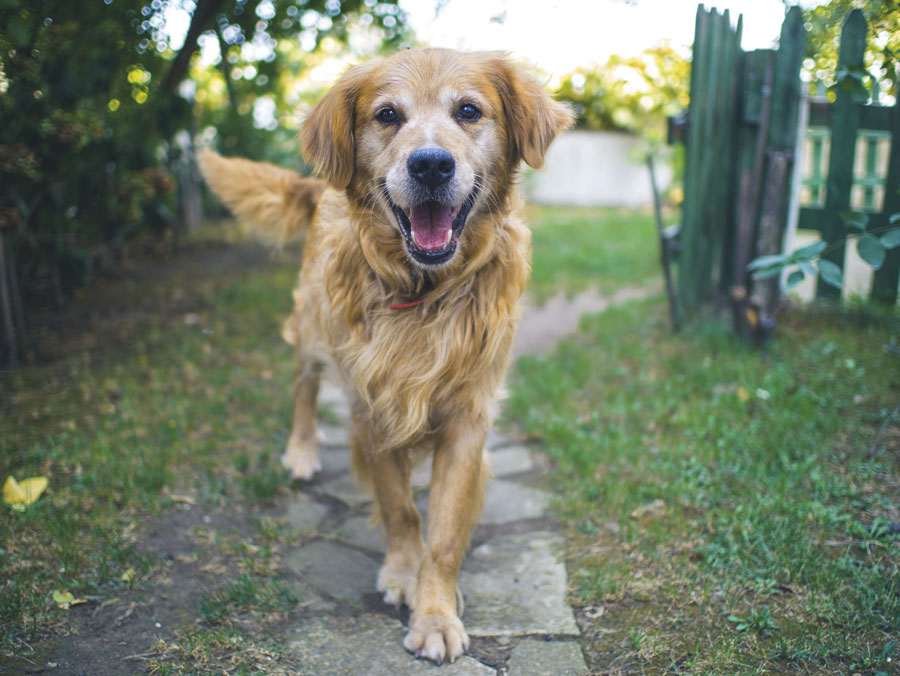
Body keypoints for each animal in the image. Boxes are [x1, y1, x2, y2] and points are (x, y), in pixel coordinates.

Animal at [201, 48, 572, 664]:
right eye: (387, 115)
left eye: (469, 111)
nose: (431, 166)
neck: (425, 290)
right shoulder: (370, 406)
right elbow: (401, 507)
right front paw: (403, 573)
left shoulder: (468, 417)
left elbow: (443, 530)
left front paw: (435, 611)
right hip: (314, 327)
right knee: (303, 383)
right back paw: (302, 449)